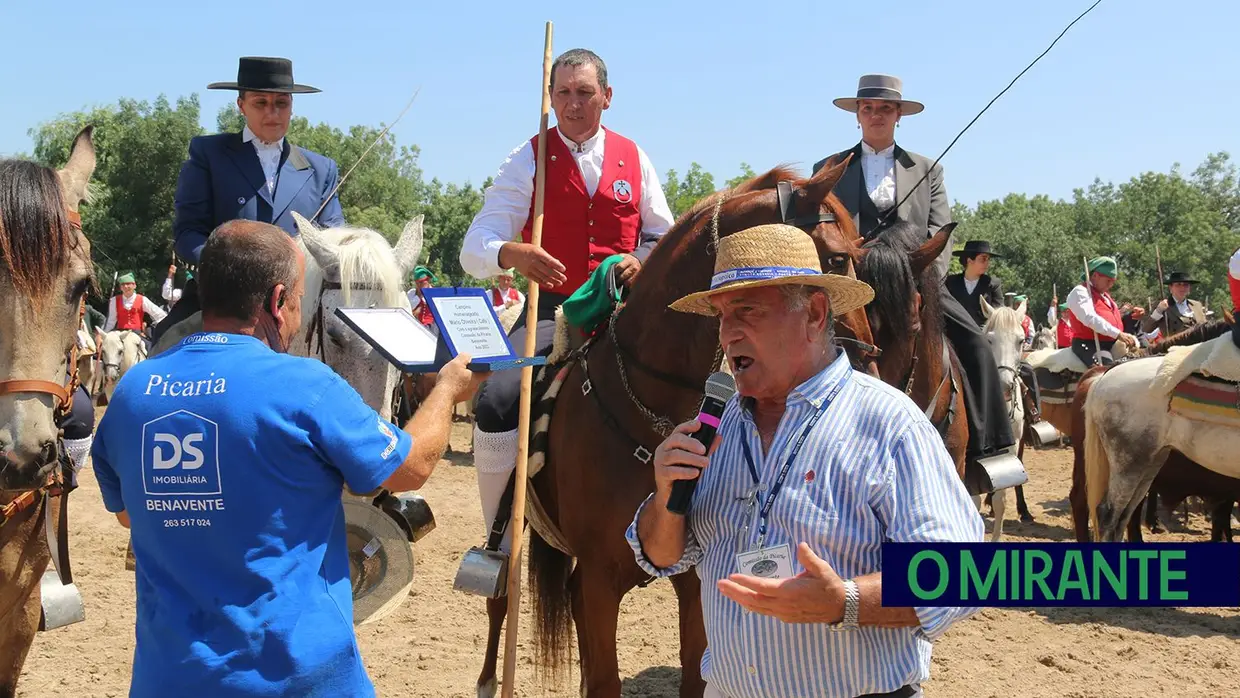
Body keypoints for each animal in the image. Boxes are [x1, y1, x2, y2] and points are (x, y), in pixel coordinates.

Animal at [468, 159, 877, 698]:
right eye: (834, 258)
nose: (872, 361)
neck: (650, 411)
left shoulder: (694, 578)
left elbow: (693, 674)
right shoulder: (600, 580)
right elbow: (605, 680)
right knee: (499, 598)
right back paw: (488, 678)